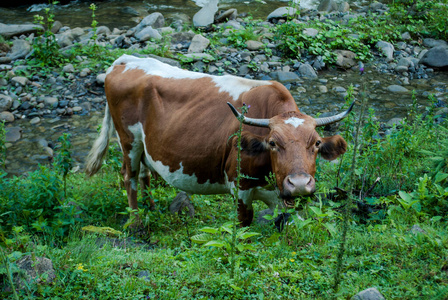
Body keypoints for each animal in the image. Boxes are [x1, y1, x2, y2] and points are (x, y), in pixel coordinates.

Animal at [86, 54, 354, 227]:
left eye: (316, 143)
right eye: (273, 143)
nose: (298, 184)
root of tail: (126, 60)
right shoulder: (239, 186)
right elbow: (244, 225)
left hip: (144, 144)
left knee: (144, 173)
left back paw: (151, 207)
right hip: (128, 139)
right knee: (129, 176)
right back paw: (136, 223)